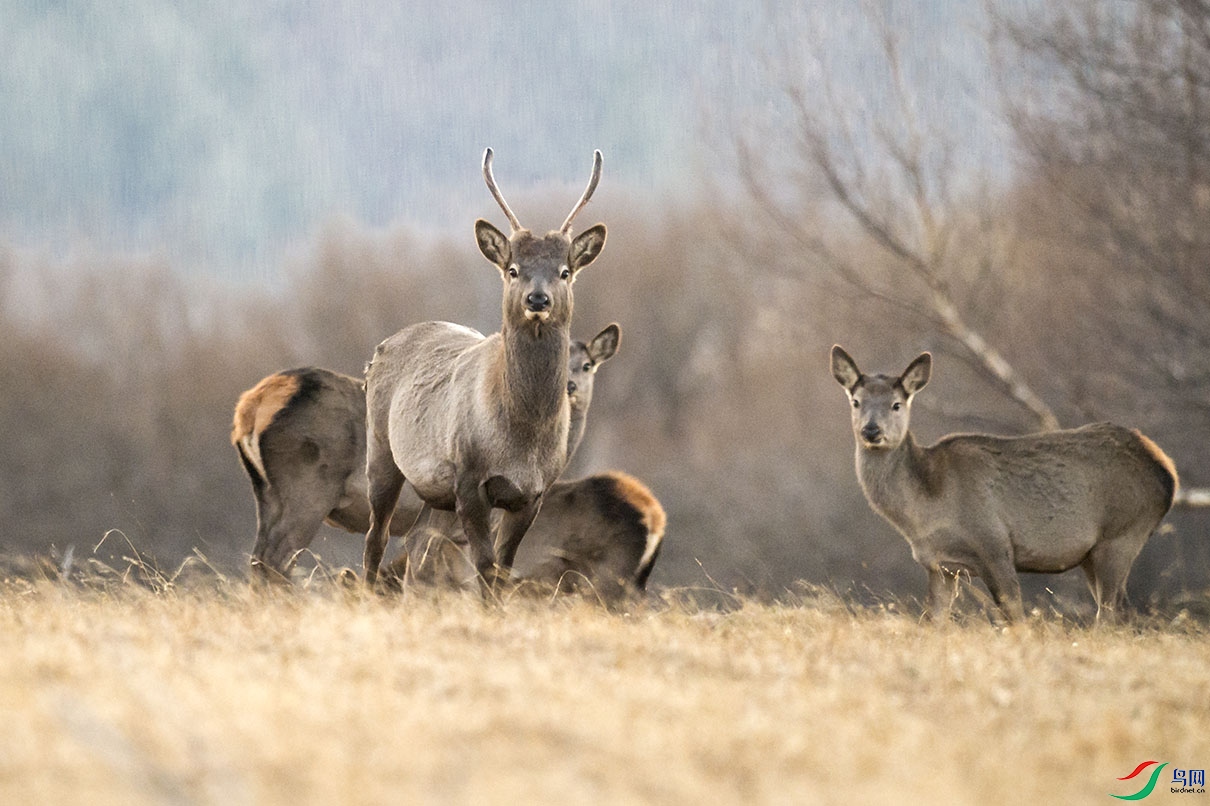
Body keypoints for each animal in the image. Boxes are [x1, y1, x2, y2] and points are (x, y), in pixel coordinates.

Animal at [231, 324, 619, 580]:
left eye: (587, 365)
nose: (570, 386)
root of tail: (250, 407)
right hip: (309, 488)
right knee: (277, 558)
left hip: (267, 493)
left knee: (259, 557)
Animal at [358, 147, 605, 590]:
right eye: (513, 269)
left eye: (565, 271)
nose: (537, 299)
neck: (521, 439)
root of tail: (378, 352)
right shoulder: (470, 478)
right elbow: (486, 570)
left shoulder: (533, 494)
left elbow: (503, 570)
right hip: (381, 449)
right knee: (377, 536)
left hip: (434, 493)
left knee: (416, 538)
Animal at [827, 346, 1176, 619]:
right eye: (856, 401)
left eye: (896, 404)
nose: (871, 430)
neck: (928, 504)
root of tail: (1166, 472)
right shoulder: (940, 566)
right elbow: (933, 621)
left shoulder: (995, 545)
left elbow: (1016, 617)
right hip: (1093, 553)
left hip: (1121, 534)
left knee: (1111, 613)